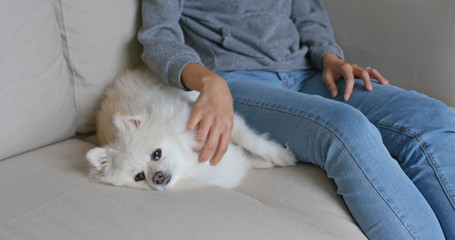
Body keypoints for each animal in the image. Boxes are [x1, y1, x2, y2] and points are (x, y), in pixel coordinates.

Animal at [86, 65, 298, 191]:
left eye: (156, 154)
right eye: (139, 177)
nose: (157, 177)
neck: (188, 160)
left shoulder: (216, 122)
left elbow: (252, 141)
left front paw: (282, 156)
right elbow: (243, 157)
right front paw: (263, 162)